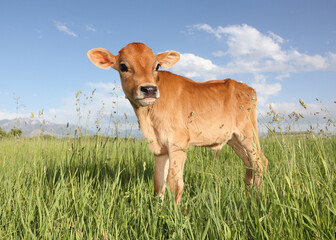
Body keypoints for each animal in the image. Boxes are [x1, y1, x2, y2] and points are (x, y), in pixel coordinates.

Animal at [88, 42, 270, 203]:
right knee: (249, 164)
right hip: (233, 138)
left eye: (157, 66)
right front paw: (158, 211)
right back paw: (247, 197)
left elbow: (174, 182)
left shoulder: (178, 142)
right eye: (123, 66)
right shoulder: (159, 148)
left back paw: (258, 198)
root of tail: (246, 87)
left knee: (260, 162)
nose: (149, 89)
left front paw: (175, 216)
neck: (148, 118)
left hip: (248, 133)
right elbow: (158, 182)